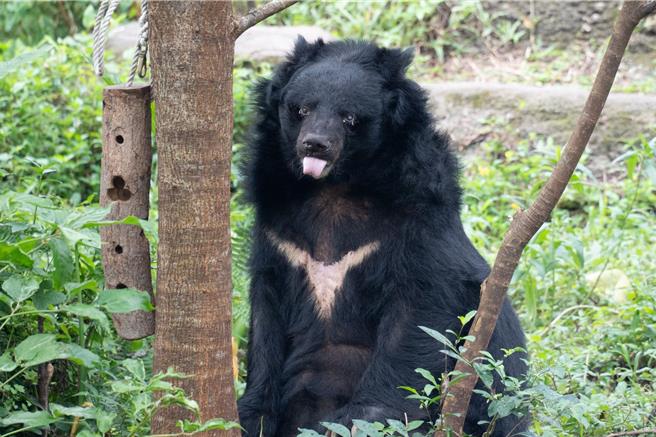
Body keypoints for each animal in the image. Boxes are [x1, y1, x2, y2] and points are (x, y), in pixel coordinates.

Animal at [237, 38, 530, 437]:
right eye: (302, 109)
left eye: (349, 118)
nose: (315, 145)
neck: (333, 188)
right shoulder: (278, 233)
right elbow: (266, 318)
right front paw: (252, 413)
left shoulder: (416, 223)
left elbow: (417, 316)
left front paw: (361, 420)